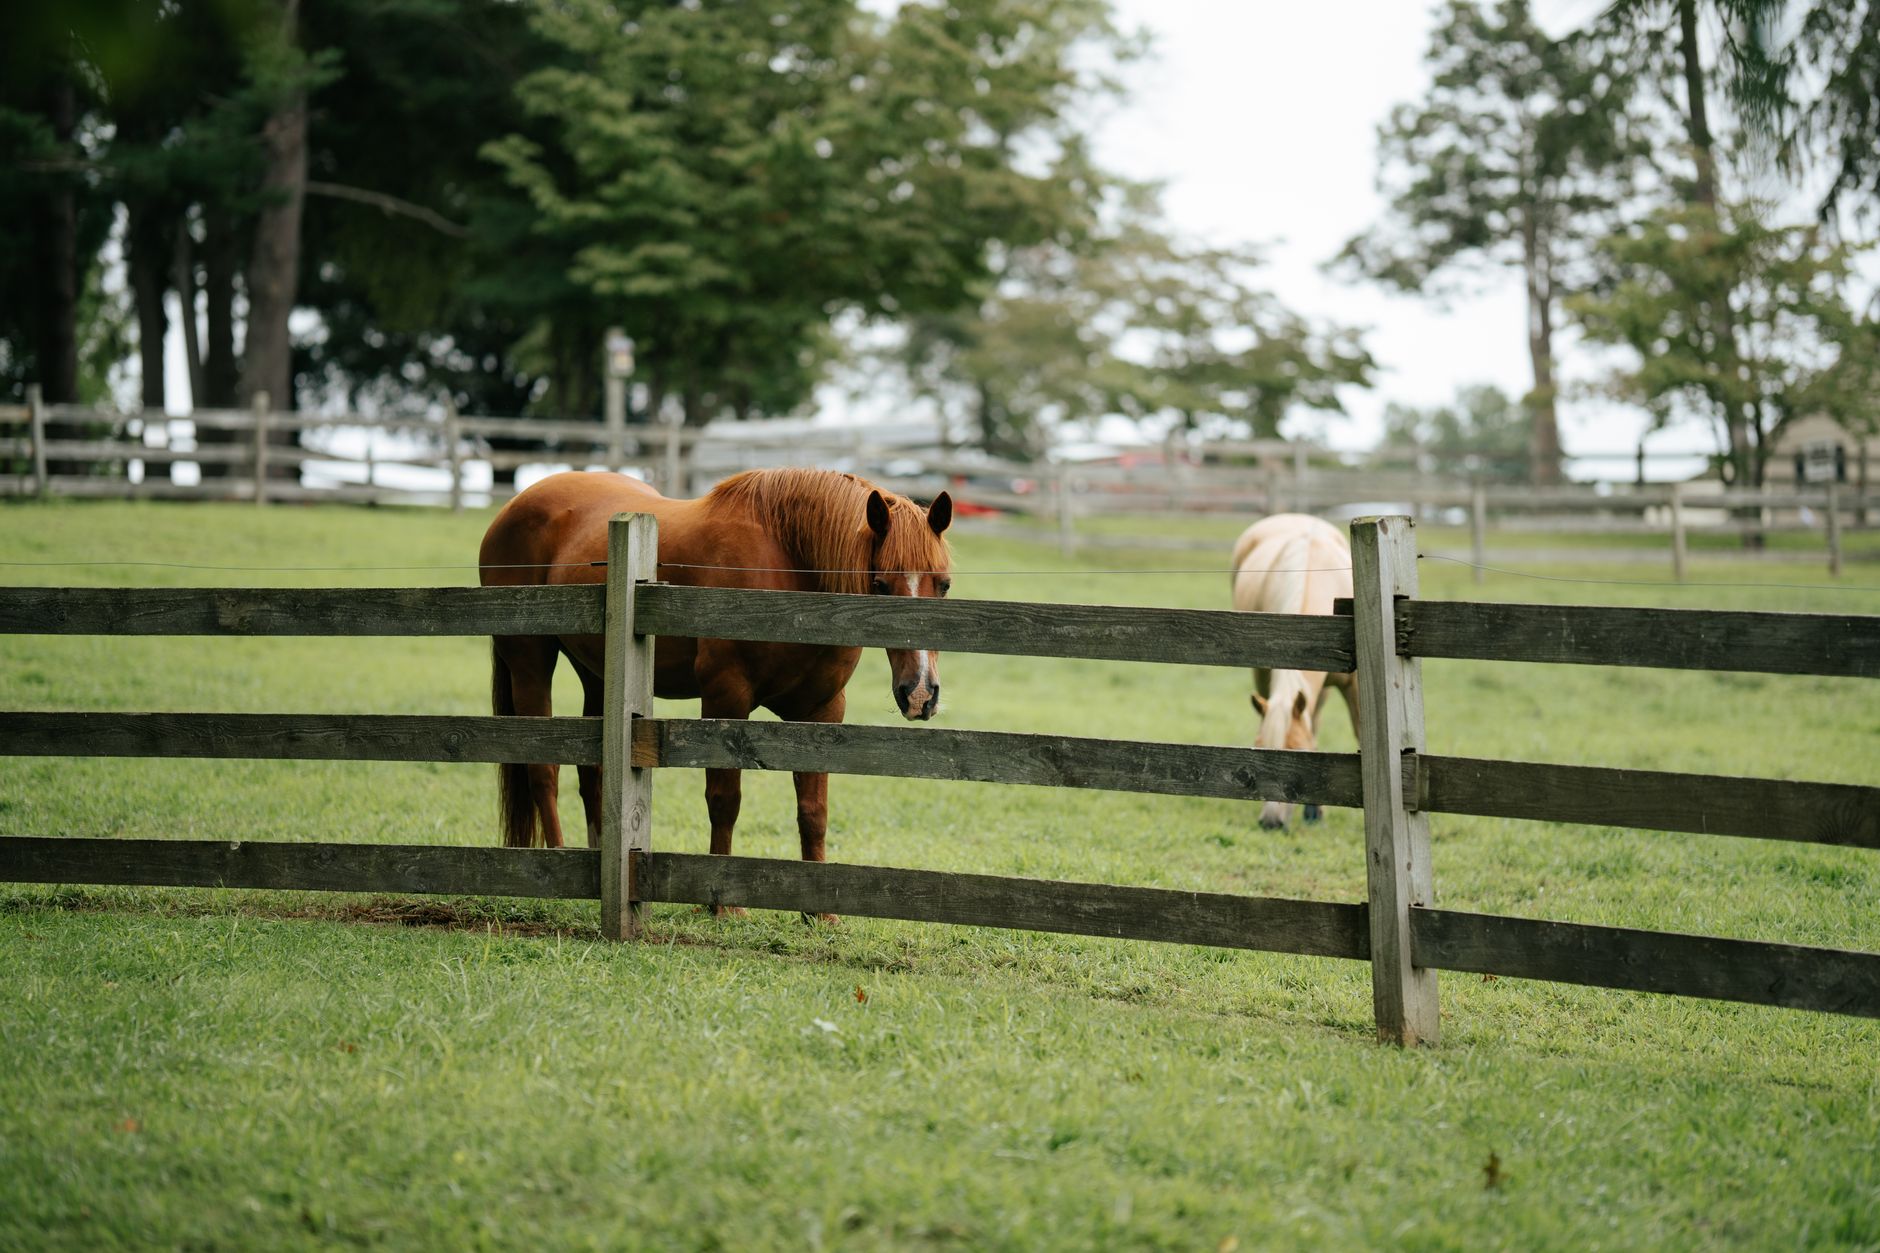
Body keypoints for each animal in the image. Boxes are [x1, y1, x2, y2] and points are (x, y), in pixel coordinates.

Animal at [478, 468, 953, 867]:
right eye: (880, 585)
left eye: (944, 585)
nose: (919, 693)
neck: (791, 570)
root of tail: (515, 505)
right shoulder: (726, 698)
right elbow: (725, 799)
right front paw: (723, 903)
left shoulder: (821, 710)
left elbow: (814, 809)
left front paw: (820, 912)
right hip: (530, 662)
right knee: (543, 770)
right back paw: (555, 858)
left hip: (597, 674)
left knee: (590, 770)